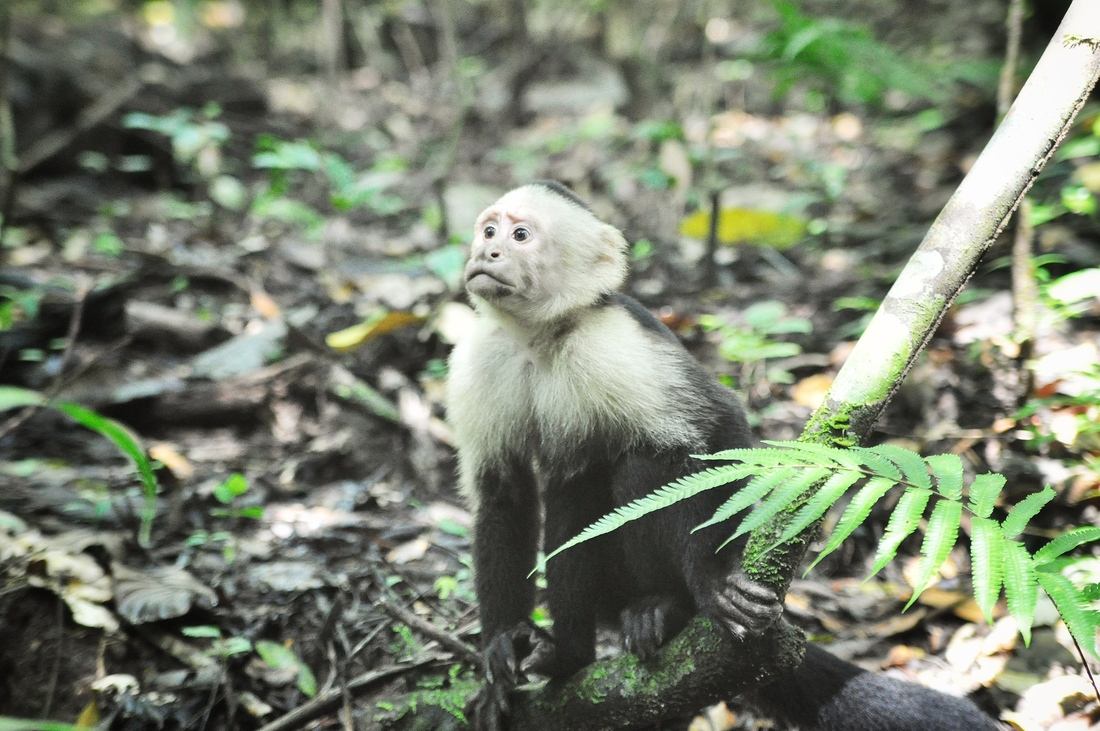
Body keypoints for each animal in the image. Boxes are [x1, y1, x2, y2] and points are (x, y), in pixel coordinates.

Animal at [445, 181, 1001, 731]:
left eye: (520, 236)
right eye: (489, 231)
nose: (487, 252)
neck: (538, 337)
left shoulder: (612, 344)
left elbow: (715, 431)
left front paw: (712, 582)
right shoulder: (479, 356)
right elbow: (503, 495)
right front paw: (502, 643)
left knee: (638, 467)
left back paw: (659, 609)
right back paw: (567, 654)